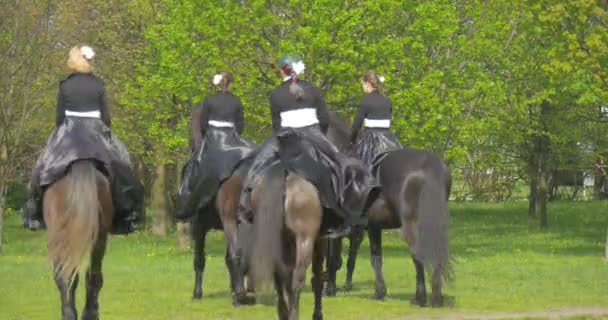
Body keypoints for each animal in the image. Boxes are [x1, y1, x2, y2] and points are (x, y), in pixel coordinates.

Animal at [247, 164, 326, 320]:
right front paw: (317, 314)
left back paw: (283, 312)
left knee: (279, 277)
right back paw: (293, 314)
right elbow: (317, 278)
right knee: (297, 280)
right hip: (305, 241)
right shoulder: (319, 242)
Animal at [324, 113, 452, 308]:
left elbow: (344, 258)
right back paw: (435, 298)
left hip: (411, 226)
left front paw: (332, 289)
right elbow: (368, 257)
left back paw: (421, 298)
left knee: (418, 254)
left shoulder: (358, 227)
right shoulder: (372, 227)